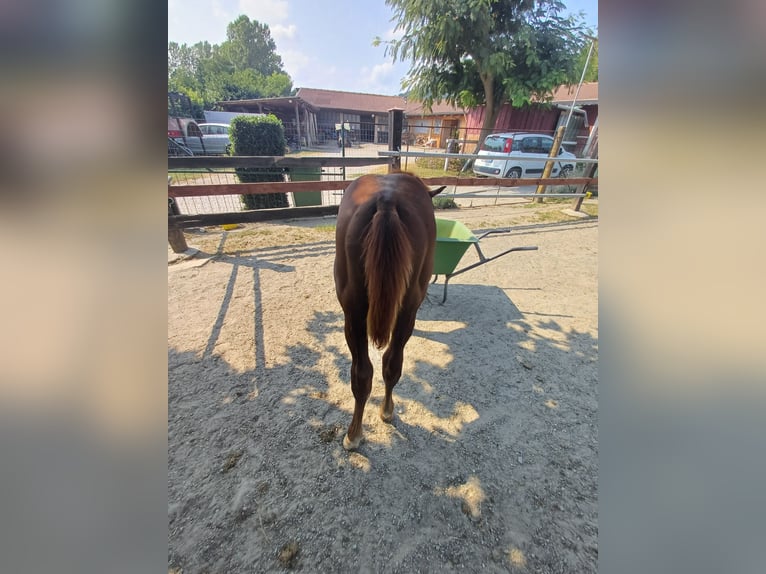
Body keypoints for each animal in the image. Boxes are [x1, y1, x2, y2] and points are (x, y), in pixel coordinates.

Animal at [334, 173, 448, 452]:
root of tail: (387, 200)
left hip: (354, 313)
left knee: (365, 372)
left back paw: (355, 433)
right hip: (406, 309)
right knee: (391, 363)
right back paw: (382, 414)